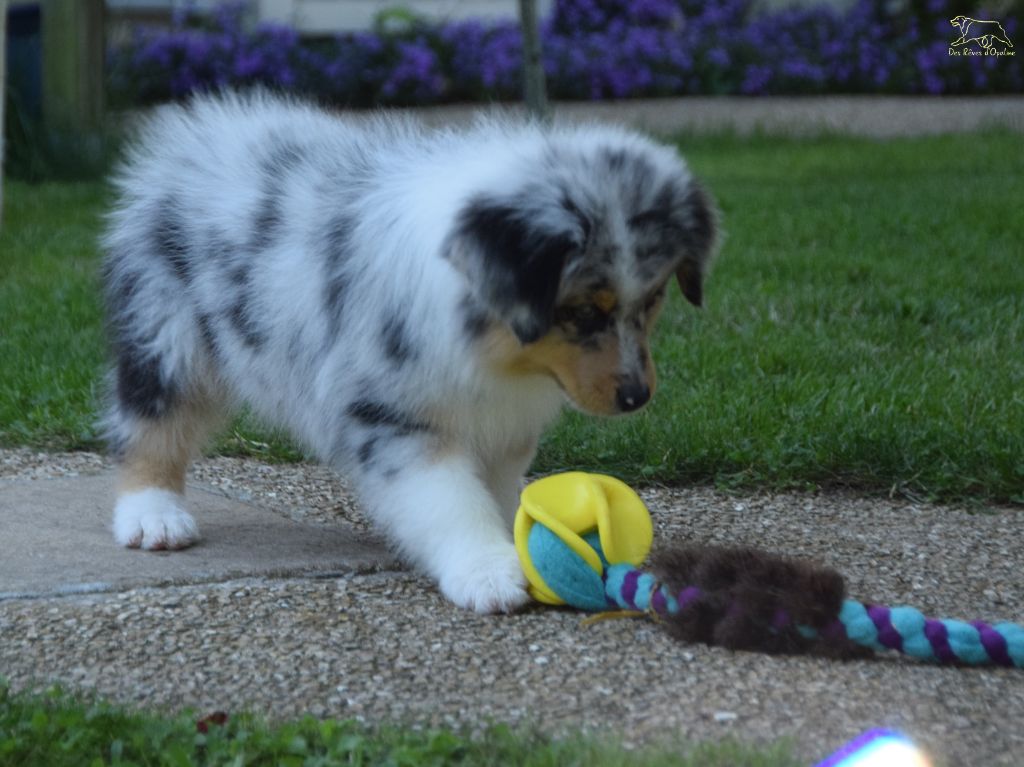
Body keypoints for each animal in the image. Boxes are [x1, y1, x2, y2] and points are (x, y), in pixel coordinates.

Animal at [101, 91, 718, 613]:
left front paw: (509, 540)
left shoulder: (503, 419)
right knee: (152, 421)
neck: (495, 348)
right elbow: (448, 497)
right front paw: (487, 571)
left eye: (655, 299)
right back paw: (153, 515)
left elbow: (493, 487)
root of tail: (199, 129)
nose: (636, 397)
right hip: (168, 331)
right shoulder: (389, 415)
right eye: (585, 312)